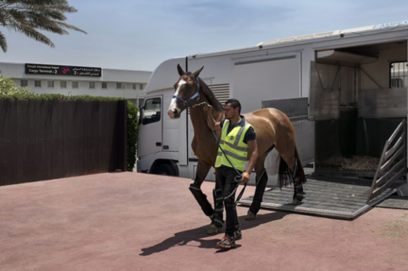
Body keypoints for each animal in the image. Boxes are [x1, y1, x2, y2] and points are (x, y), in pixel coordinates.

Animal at [167, 65, 306, 235]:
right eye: (175, 85)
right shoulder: (203, 162)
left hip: (286, 149)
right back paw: (252, 211)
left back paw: (297, 198)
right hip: (260, 155)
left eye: (188, 86)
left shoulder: (217, 165)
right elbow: (194, 187)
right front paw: (211, 212)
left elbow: (218, 192)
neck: (209, 128)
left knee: (294, 169)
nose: (172, 111)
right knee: (263, 178)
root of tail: (279, 113)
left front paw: (216, 222)